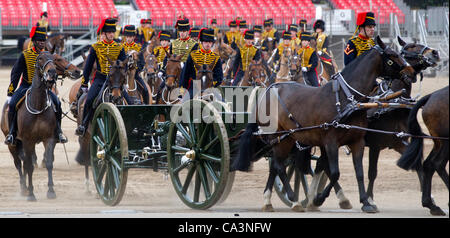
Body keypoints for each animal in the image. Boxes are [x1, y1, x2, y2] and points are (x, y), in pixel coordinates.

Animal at [0, 51, 59, 201]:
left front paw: (51, 191)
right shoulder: (27, 140)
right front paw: (31, 194)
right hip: (13, 144)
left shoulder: (49, 139)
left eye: (54, 58)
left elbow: (49, 163)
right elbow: (29, 166)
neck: (38, 105)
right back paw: (24, 188)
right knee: (19, 164)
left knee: (24, 164)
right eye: (40, 59)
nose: (52, 72)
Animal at [74, 57, 129, 193]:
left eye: (123, 76)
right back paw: (88, 184)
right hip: (86, 135)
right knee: (87, 156)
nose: (116, 97)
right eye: (110, 75)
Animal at [234, 36, 416, 213]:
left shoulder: (358, 141)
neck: (346, 97)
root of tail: (267, 91)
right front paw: (318, 199)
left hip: (287, 139)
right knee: (279, 167)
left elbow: (359, 172)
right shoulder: (330, 143)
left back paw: (269, 201)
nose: (411, 72)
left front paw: (365, 202)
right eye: (392, 56)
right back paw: (294, 200)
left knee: (276, 166)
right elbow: (335, 173)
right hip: (279, 138)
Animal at [400, 85, 448, 216]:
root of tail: (431, 96)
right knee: (438, 164)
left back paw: (430, 205)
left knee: (428, 164)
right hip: (446, 140)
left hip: (439, 142)